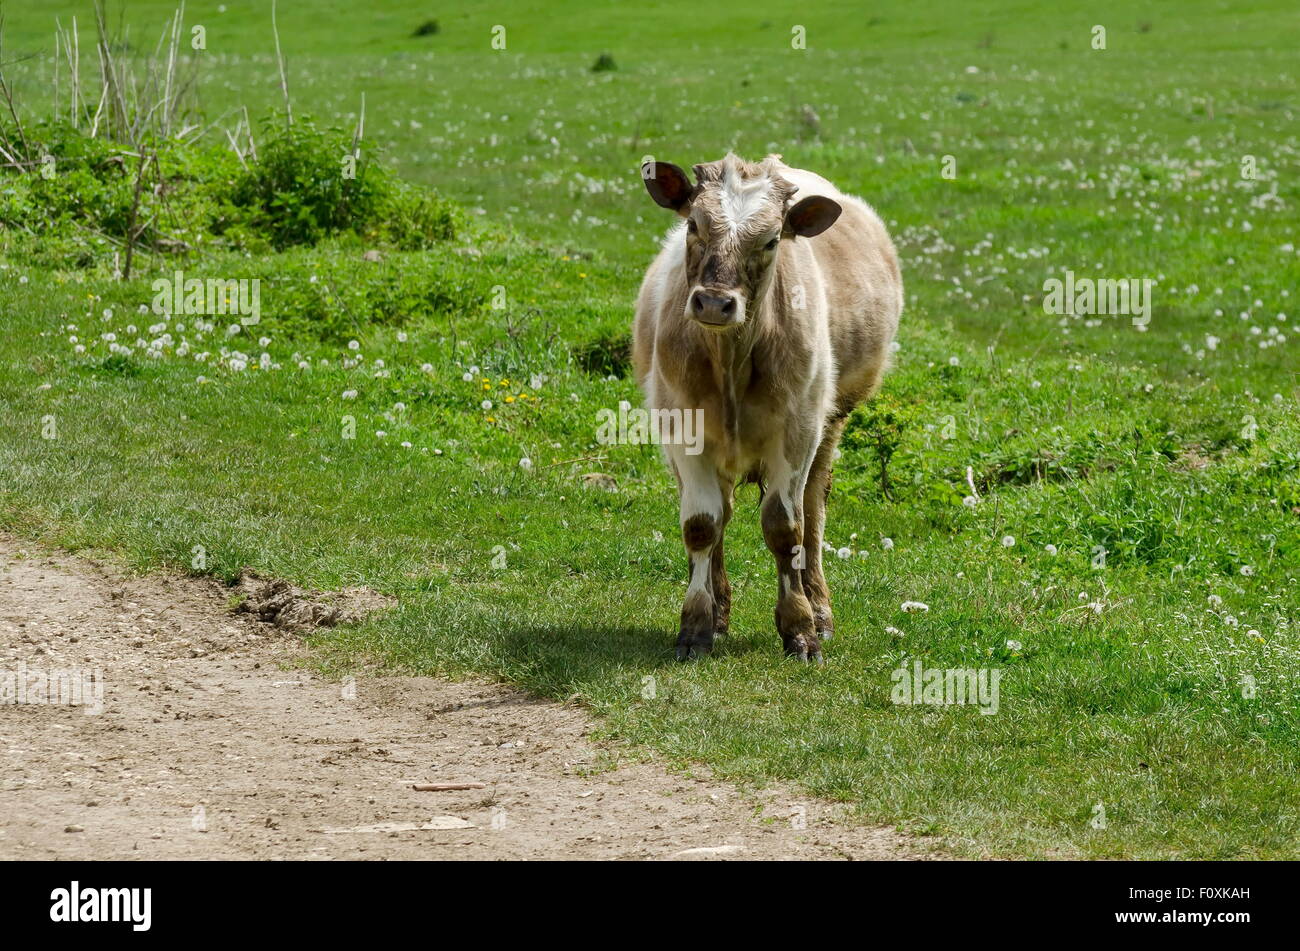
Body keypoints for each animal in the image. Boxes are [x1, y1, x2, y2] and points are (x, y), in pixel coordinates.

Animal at [631, 153, 904, 659]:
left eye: (772, 239)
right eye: (693, 224)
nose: (713, 303)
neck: (731, 364)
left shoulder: (798, 433)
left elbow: (785, 529)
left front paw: (800, 628)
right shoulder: (681, 428)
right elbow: (701, 525)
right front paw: (697, 626)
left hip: (830, 425)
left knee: (812, 511)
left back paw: (820, 609)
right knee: (719, 513)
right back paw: (720, 610)